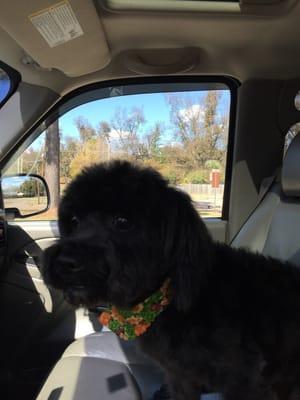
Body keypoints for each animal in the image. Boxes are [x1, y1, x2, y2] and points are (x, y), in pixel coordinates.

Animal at [43, 160, 300, 400]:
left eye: (123, 221)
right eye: (74, 220)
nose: (64, 261)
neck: (165, 298)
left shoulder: (243, 380)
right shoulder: (180, 376)